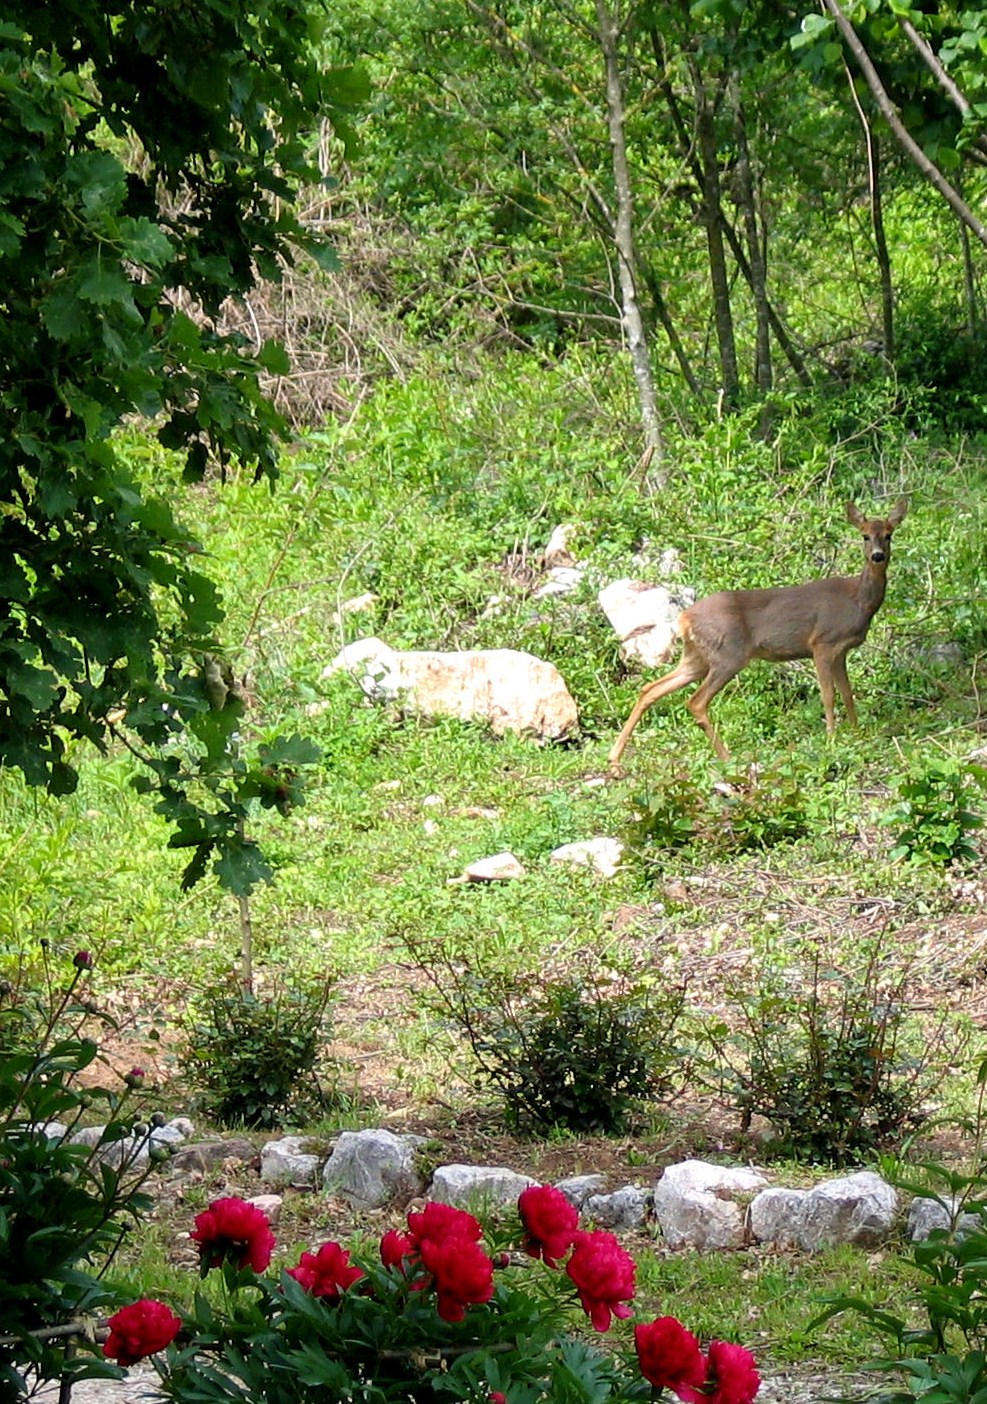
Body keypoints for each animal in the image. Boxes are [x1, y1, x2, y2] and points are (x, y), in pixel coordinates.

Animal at [609, 499, 909, 769]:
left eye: (889, 534)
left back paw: (614, 759)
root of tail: (683, 618)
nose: (878, 556)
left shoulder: (841, 650)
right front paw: (832, 740)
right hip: (728, 654)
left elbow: (847, 693)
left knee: (650, 689)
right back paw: (727, 757)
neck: (859, 600)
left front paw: (856, 735)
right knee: (695, 701)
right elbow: (829, 694)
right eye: (864, 535)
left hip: (696, 657)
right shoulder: (822, 642)